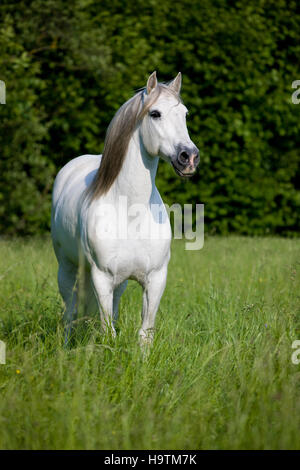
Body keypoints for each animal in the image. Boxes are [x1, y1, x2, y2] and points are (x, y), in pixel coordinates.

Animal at [51, 72, 199, 346]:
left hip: (118, 284)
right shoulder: (101, 278)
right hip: (66, 268)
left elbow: (145, 333)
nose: (189, 157)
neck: (132, 213)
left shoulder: (155, 279)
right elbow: (108, 331)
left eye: (184, 114)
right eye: (155, 114)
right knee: (69, 312)